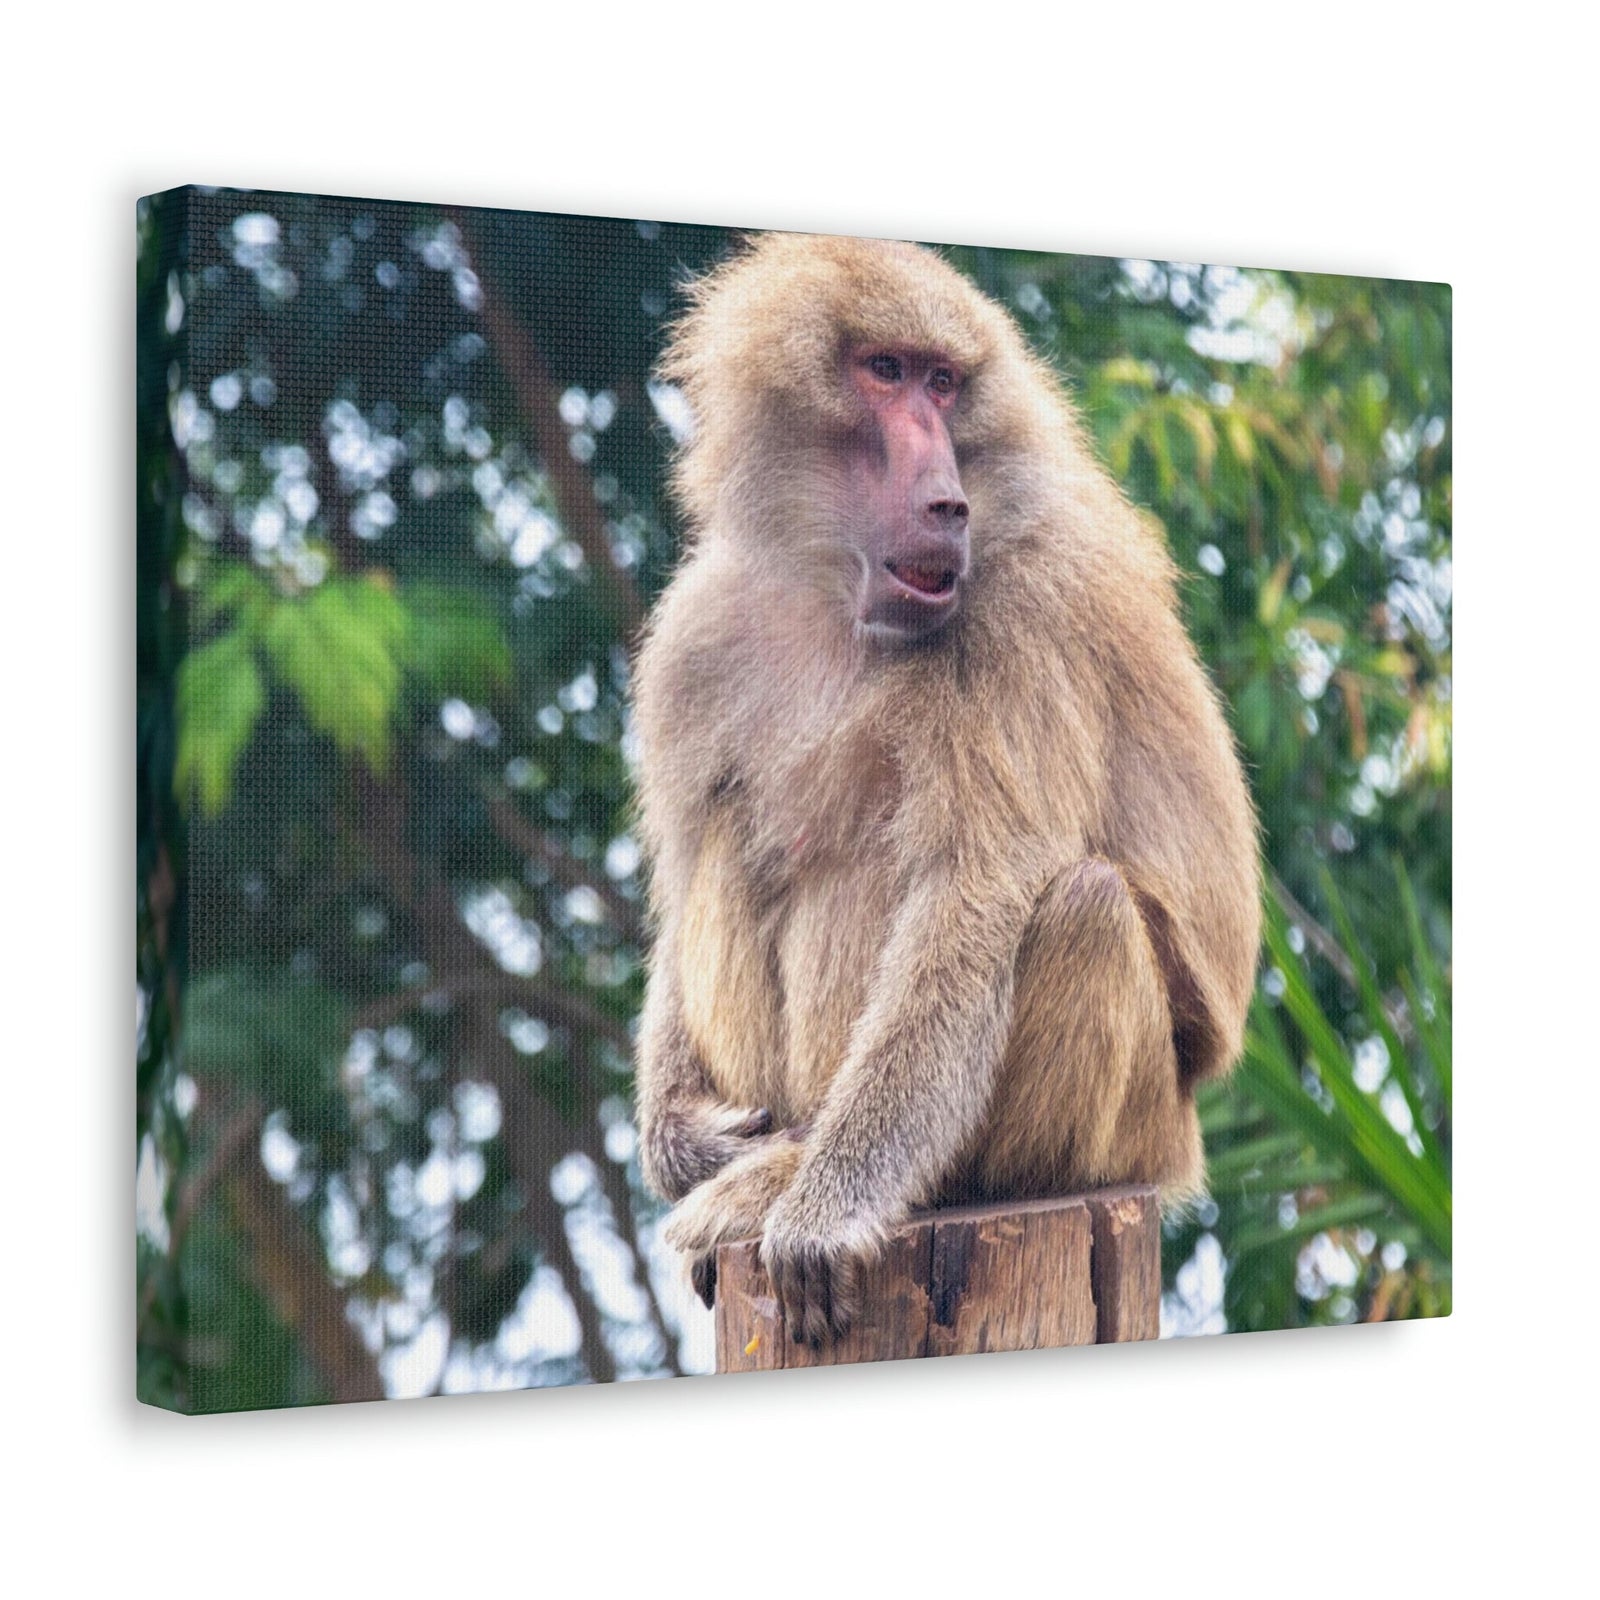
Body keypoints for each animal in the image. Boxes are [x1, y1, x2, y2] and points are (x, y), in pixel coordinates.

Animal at [629, 233, 1260, 1348]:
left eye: (944, 383)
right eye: (884, 371)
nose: (946, 501)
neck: (833, 591)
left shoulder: (1023, 614)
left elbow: (972, 891)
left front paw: (825, 1213)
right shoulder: (696, 633)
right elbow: (681, 878)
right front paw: (685, 1139)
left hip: (1134, 1128)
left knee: (1080, 904)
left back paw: (814, 1182)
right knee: (733, 844)